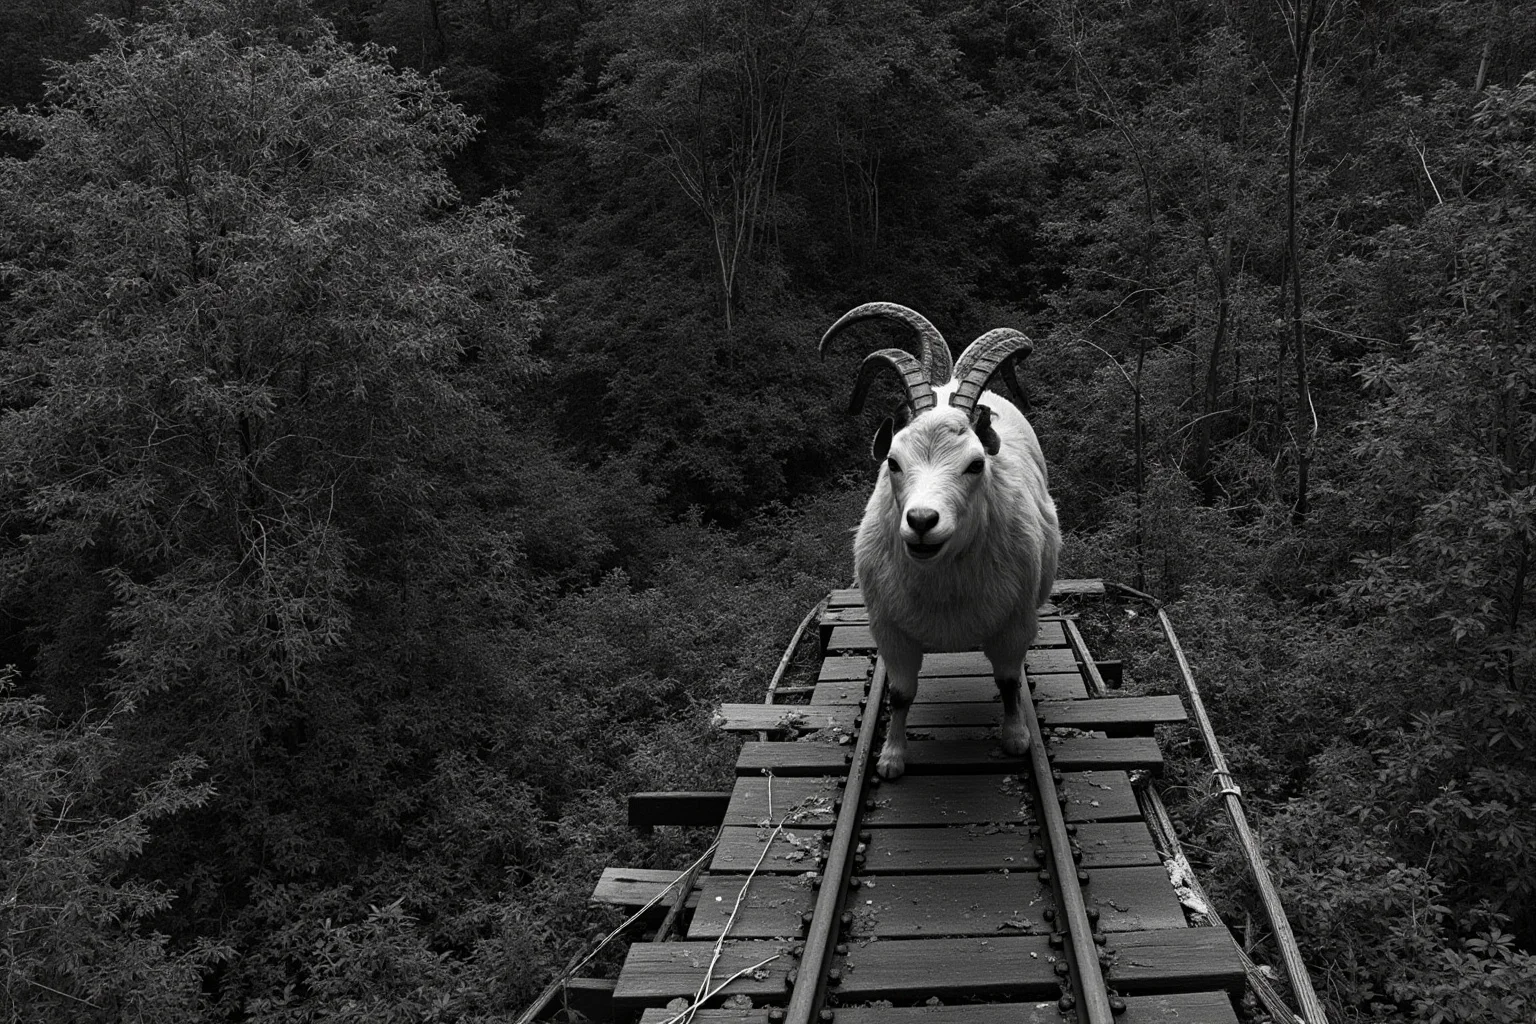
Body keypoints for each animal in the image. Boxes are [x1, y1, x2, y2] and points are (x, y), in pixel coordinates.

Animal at [821, 303, 1061, 780]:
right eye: (893, 460)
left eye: (975, 464)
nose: (921, 521)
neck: (943, 588)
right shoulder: (890, 632)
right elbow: (900, 695)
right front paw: (891, 758)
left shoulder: (1015, 625)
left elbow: (1009, 681)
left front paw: (1016, 737)